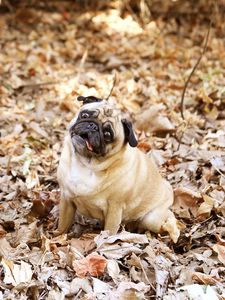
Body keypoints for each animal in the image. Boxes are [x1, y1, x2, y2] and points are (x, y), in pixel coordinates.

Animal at [55, 96, 180, 244]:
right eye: (84, 115)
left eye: (107, 134)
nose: (92, 126)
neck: (86, 164)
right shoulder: (66, 198)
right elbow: (63, 224)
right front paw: (57, 236)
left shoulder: (114, 208)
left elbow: (108, 231)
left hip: (152, 219)